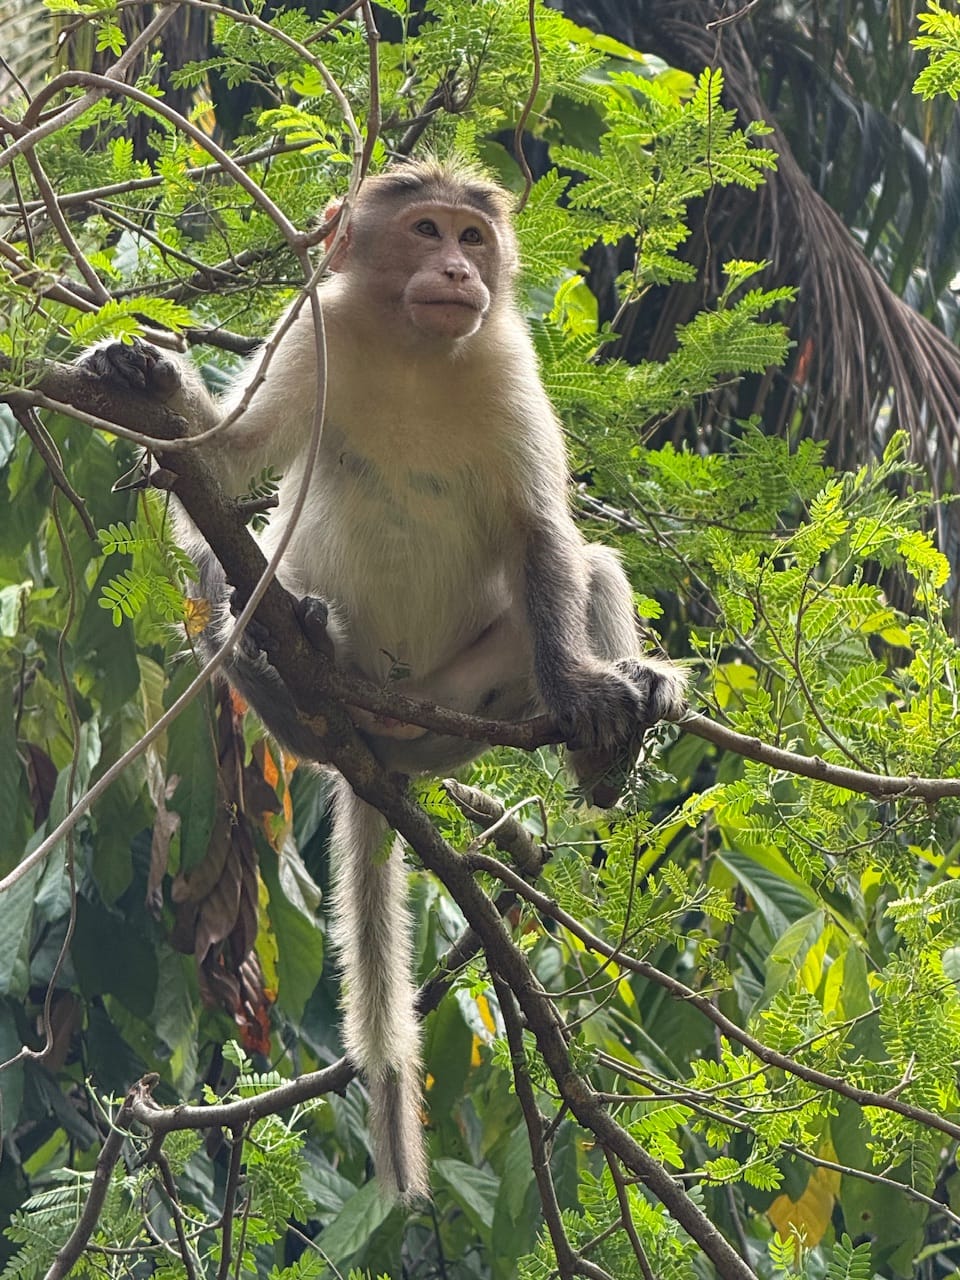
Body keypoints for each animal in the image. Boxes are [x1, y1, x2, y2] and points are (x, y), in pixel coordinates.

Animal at [80, 159, 686, 1204]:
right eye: (426, 230)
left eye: (472, 239)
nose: (458, 270)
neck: (413, 350)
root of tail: (375, 746)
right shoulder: (317, 332)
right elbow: (222, 469)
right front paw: (149, 376)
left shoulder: (508, 366)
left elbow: (544, 536)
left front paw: (584, 694)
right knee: (220, 587)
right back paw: (284, 649)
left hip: (454, 710)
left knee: (594, 567)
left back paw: (607, 747)